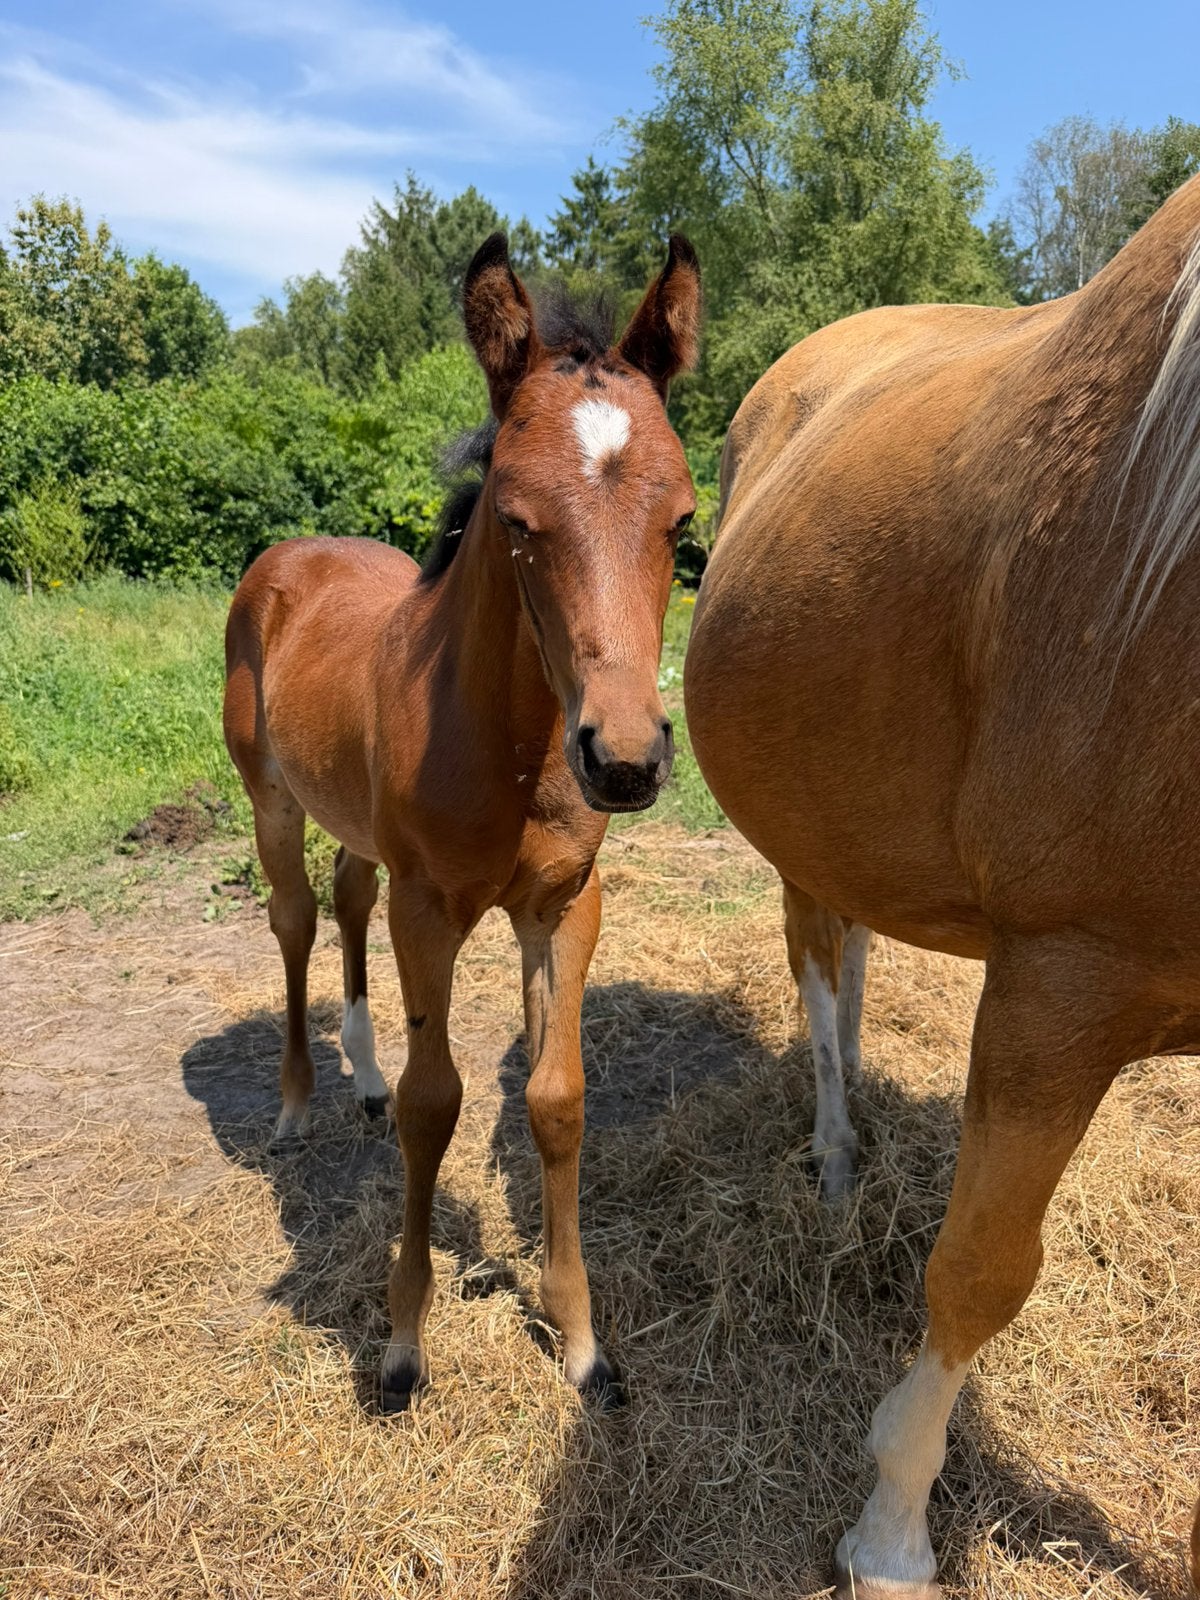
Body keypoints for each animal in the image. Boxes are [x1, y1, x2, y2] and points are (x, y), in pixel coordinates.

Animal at [224, 231, 701, 1413]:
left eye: (682, 522)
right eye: (518, 520)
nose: (625, 760)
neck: (512, 745)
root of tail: (289, 555)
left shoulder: (564, 905)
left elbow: (557, 1097)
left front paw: (583, 1344)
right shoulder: (430, 910)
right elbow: (433, 1104)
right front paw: (401, 1347)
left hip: (358, 829)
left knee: (346, 898)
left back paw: (356, 1078)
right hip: (270, 798)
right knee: (296, 921)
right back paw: (298, 1105)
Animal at [684, 175, 1200, 1596]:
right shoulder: (1060, 983)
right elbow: (977, 1273)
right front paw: (892, 1526)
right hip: (805, 836)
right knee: (818, 976)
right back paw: (837, 1158)